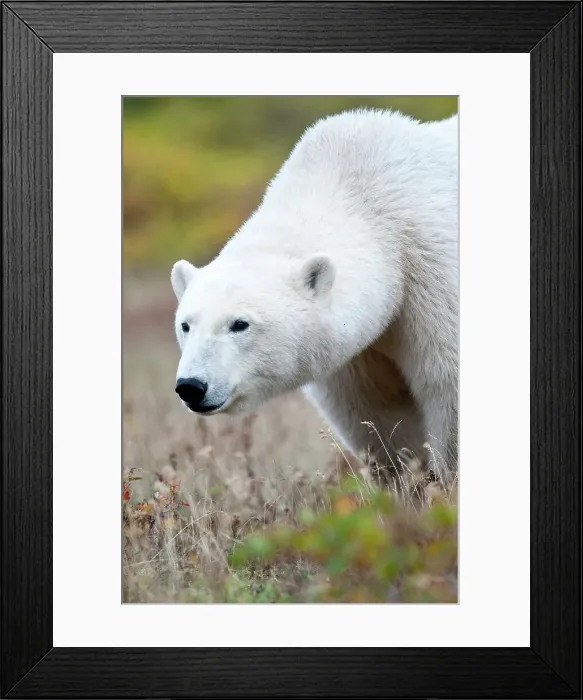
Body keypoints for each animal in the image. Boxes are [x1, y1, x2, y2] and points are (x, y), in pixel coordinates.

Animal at [170, 108, 458, 477]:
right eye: (186, 325)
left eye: (240, 324)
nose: (192, 386)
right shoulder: (352, 357)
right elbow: (376, 412)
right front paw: (408, 477)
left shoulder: (432, 275)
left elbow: (446, 385)